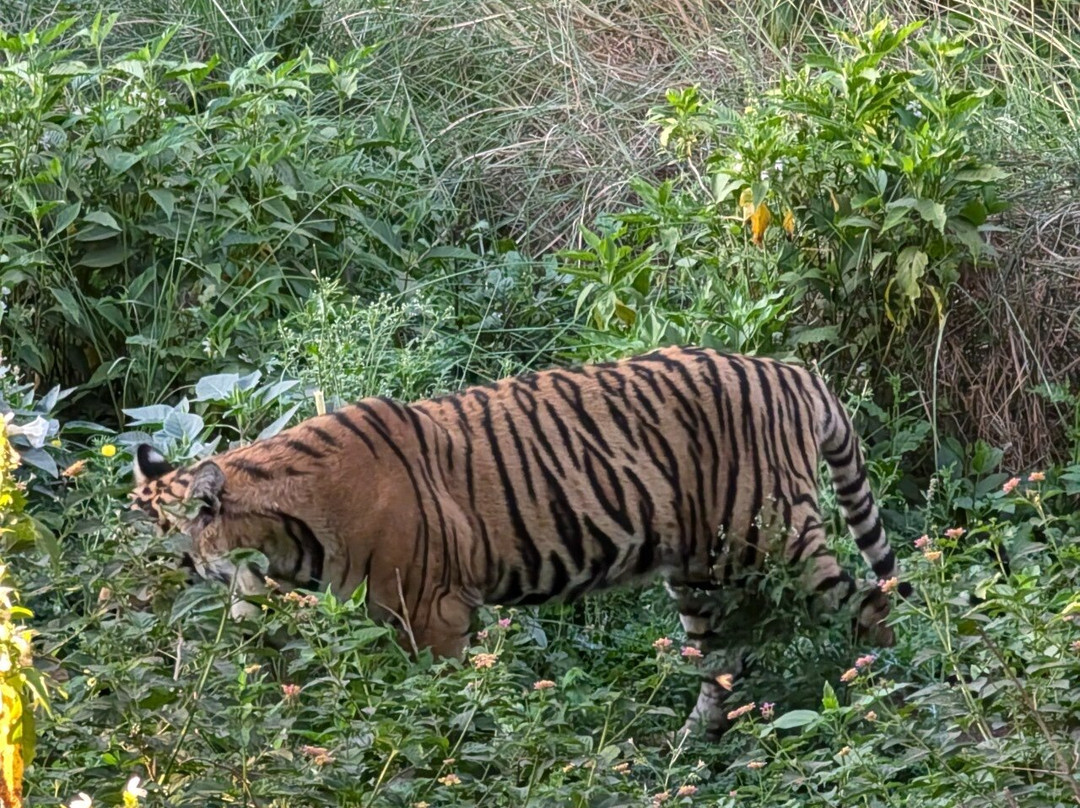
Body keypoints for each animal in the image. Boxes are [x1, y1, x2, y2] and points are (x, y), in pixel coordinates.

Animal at [130, 345, 909, 737]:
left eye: (166, 554)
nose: (128, 607)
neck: (281, 533)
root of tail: (794, 371)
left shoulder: (432, 616)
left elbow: (436, 709)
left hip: (774, 536)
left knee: (872, 604)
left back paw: (888, 701)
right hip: (701, 571)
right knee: (725, 664)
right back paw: (687, 754)